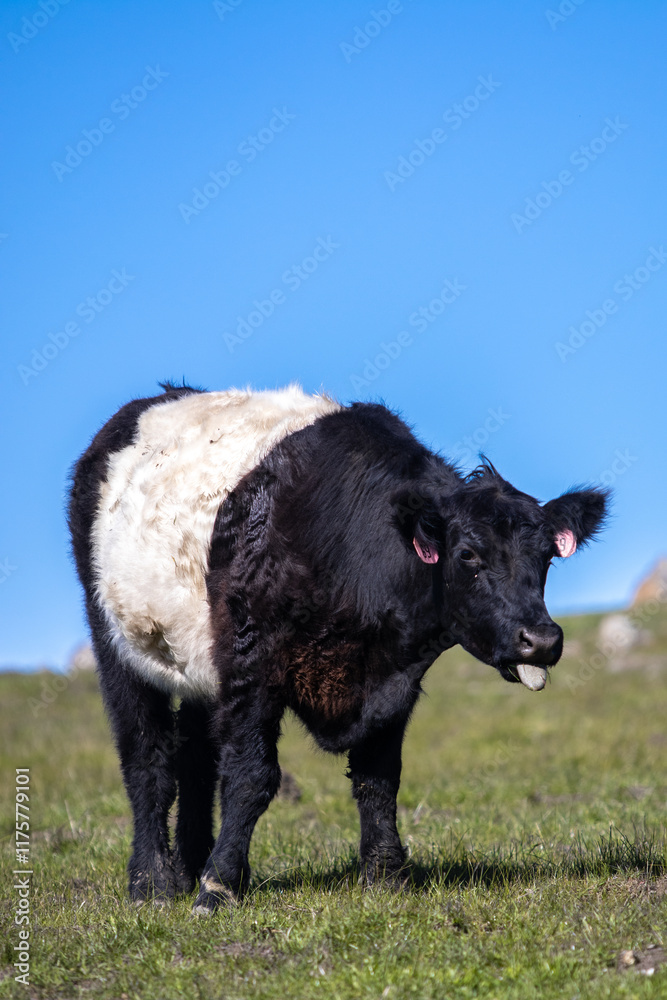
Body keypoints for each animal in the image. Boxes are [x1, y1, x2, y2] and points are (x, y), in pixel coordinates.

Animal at [68, 382, 608, 914]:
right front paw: (217, 888)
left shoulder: (393, 678)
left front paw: (386, 877)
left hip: (200, 663)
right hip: (115, 641)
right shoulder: (251, 663)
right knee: (148, 760)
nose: (541, 639)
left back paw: (190, 867)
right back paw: (153, 885)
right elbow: (250, 777)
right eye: (468, 554)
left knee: (196, 758)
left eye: (548, 558)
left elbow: (378, 777)